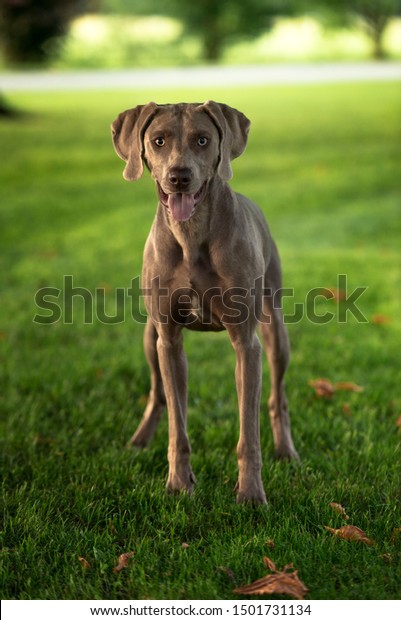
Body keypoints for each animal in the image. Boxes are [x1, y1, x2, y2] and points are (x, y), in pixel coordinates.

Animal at [111, 98, 298, 504]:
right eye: (159, 140)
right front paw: (179, 484)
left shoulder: (247, 343)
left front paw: (250, 493)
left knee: (278, 396)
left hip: (275, 330)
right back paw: (140, 439)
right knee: (157, 392)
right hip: (149, 338)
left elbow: (248, 431)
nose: (179, 176)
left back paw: (286, 450)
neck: (191, 234)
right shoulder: (168, 338)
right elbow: (177, 422)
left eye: (202, 139)